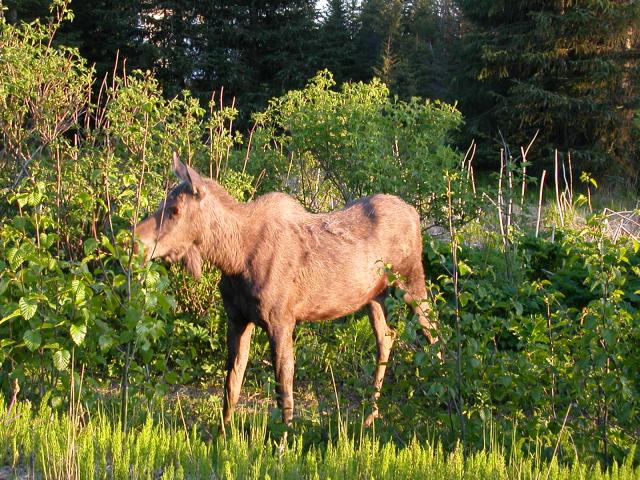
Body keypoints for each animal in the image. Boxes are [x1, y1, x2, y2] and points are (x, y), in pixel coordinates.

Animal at [135, 153, 440, 424]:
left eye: (175, 210)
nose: (135, 240)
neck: (233, 258)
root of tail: (414, 213)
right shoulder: (237, 317)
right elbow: (231, 384)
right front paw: (222, 435)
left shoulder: (281, 319)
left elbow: (284, 386)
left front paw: (284, 440)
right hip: (375, 297)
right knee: (386, 338)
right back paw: (369, 416)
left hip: (412, 281)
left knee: (432, 332)